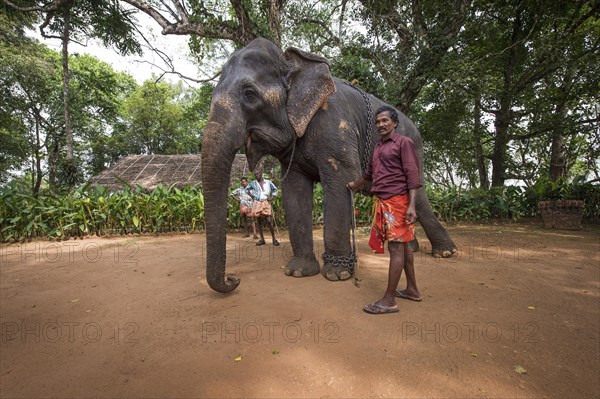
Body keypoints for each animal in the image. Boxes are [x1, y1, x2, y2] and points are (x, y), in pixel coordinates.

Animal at [199, 37, 458, 294]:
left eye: (250, 94)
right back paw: (411, 248)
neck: (293, 62)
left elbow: (342, 181)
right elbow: (294, 191)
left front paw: (337, 274)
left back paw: (445, 252)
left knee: (419, 196)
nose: (234, 279)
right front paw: (298, 272)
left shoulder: (334, 125)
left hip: (413, 146)